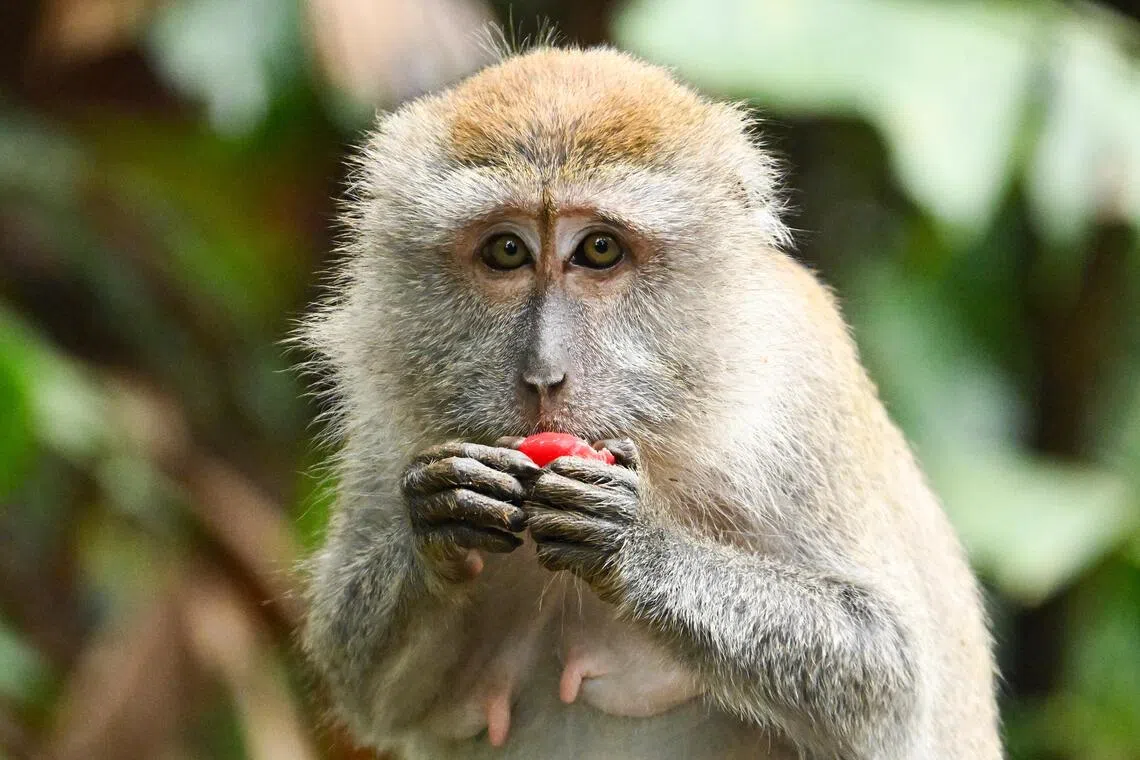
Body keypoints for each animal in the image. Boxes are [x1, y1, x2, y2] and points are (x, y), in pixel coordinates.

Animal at [297, 45, 1002, 760]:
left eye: (599, 249)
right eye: (507, 250)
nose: (544, 375)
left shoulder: (799, 389)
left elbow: (886, 671)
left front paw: (631, 541)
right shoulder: (385, 419)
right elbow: (367, 688)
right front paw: (441, 512)